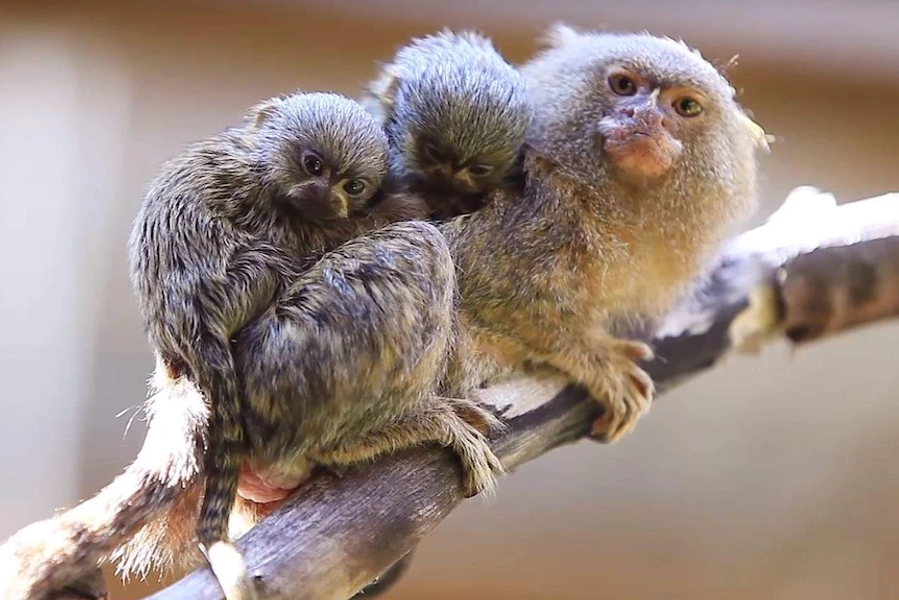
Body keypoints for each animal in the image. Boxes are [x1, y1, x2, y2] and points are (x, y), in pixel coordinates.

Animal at [0, 90, 503, 600]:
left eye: (353, 184)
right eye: (313, 164)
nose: (325, 195)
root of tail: (183, 341)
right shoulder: (269, 209)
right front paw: (412, 204)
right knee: (414, 247)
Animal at [438, 24, 770, 442]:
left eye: (686, 107)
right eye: (624, 85)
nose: (644, 116)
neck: (593, 198)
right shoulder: (531, 213)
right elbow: (491, 290)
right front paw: (594, 357)